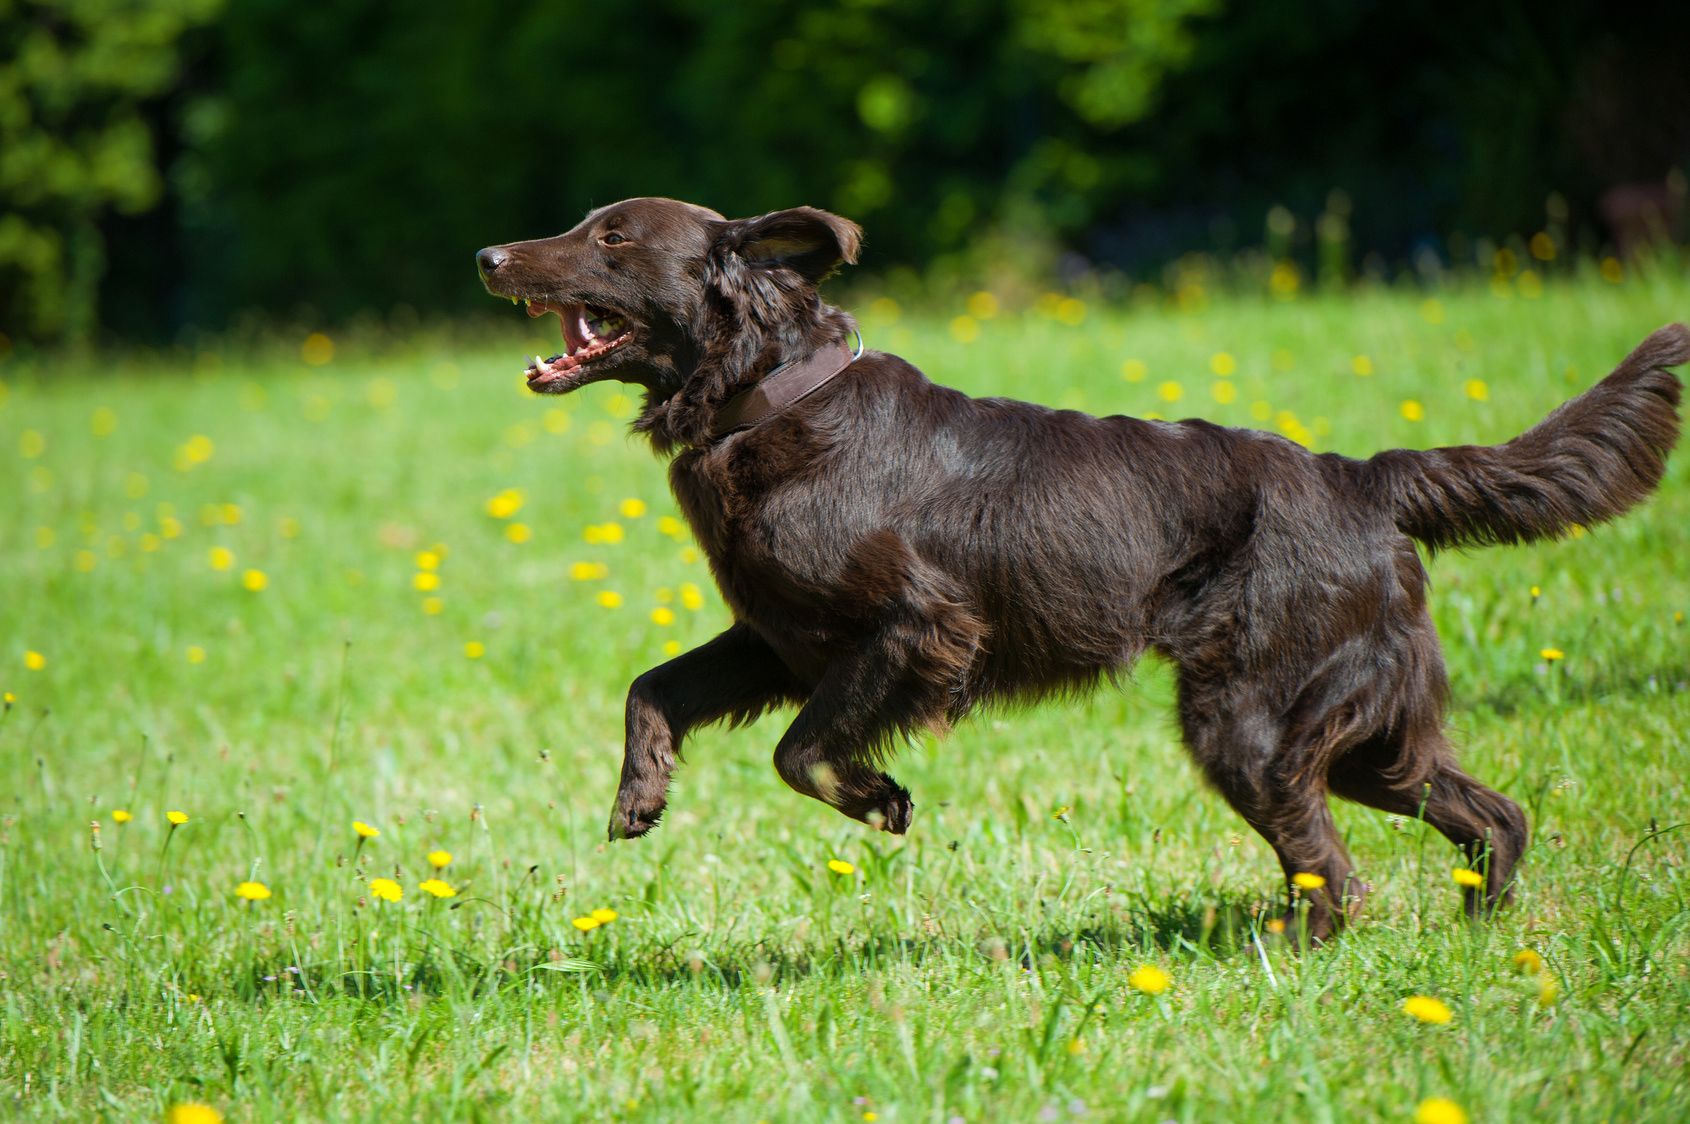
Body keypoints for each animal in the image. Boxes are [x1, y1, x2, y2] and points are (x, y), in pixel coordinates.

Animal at [476, 199, 1676, 939]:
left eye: (610, 237)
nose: (489, 257)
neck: (774, 397)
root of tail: (1360, 479)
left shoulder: (917, 627)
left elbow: (802, 751)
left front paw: (881, 800)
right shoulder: (779, 636)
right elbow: (653, 687)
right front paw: (639, 796)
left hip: (1254, 722)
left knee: (1333, 869)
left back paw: (1291, 957)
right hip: (1365, 735)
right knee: (1488, 814)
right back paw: (1481, 930)